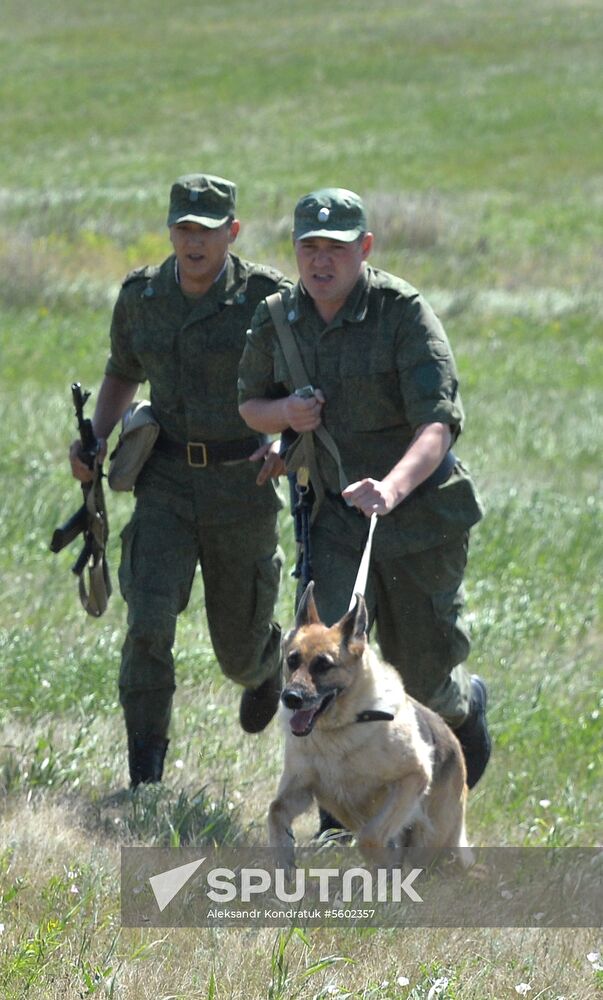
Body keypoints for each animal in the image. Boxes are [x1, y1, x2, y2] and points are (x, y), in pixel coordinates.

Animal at [268, 584, 472, 872]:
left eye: (323, 665)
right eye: (292, 661)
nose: (291, 698)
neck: (340, 727)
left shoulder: (413, 776)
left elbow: (370, 837)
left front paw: (386, 864)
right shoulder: (302, 787)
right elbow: (275, 811)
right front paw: (284, 861)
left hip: (433, 839)